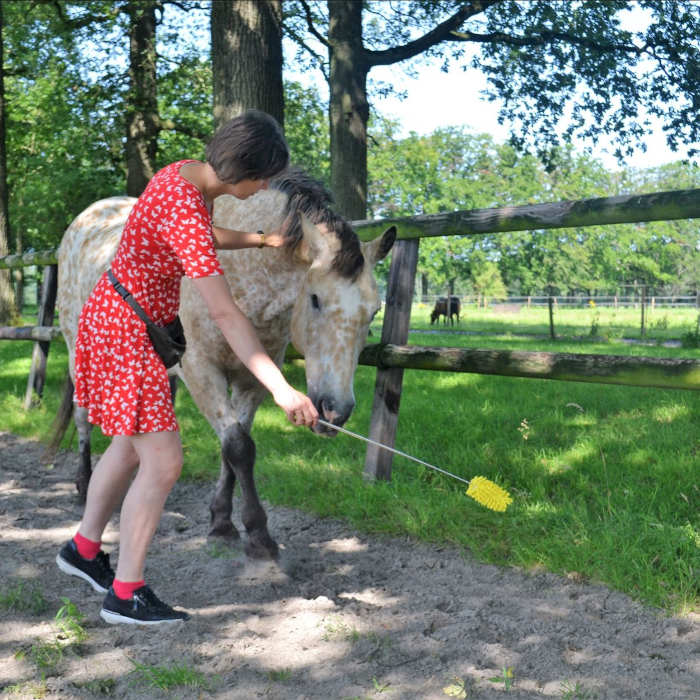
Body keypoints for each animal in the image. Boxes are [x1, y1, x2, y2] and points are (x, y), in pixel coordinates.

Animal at [52, 170, 396, 556]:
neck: (241, 274)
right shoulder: (202, 371)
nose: (335, 410)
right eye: (316, 299)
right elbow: (238, 447)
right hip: (80, 355)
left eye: (374, 311)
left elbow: (233, 448)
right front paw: (257, 534)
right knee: (83, 417)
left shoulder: (253, 379)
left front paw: (222, 520)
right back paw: (84, 484)